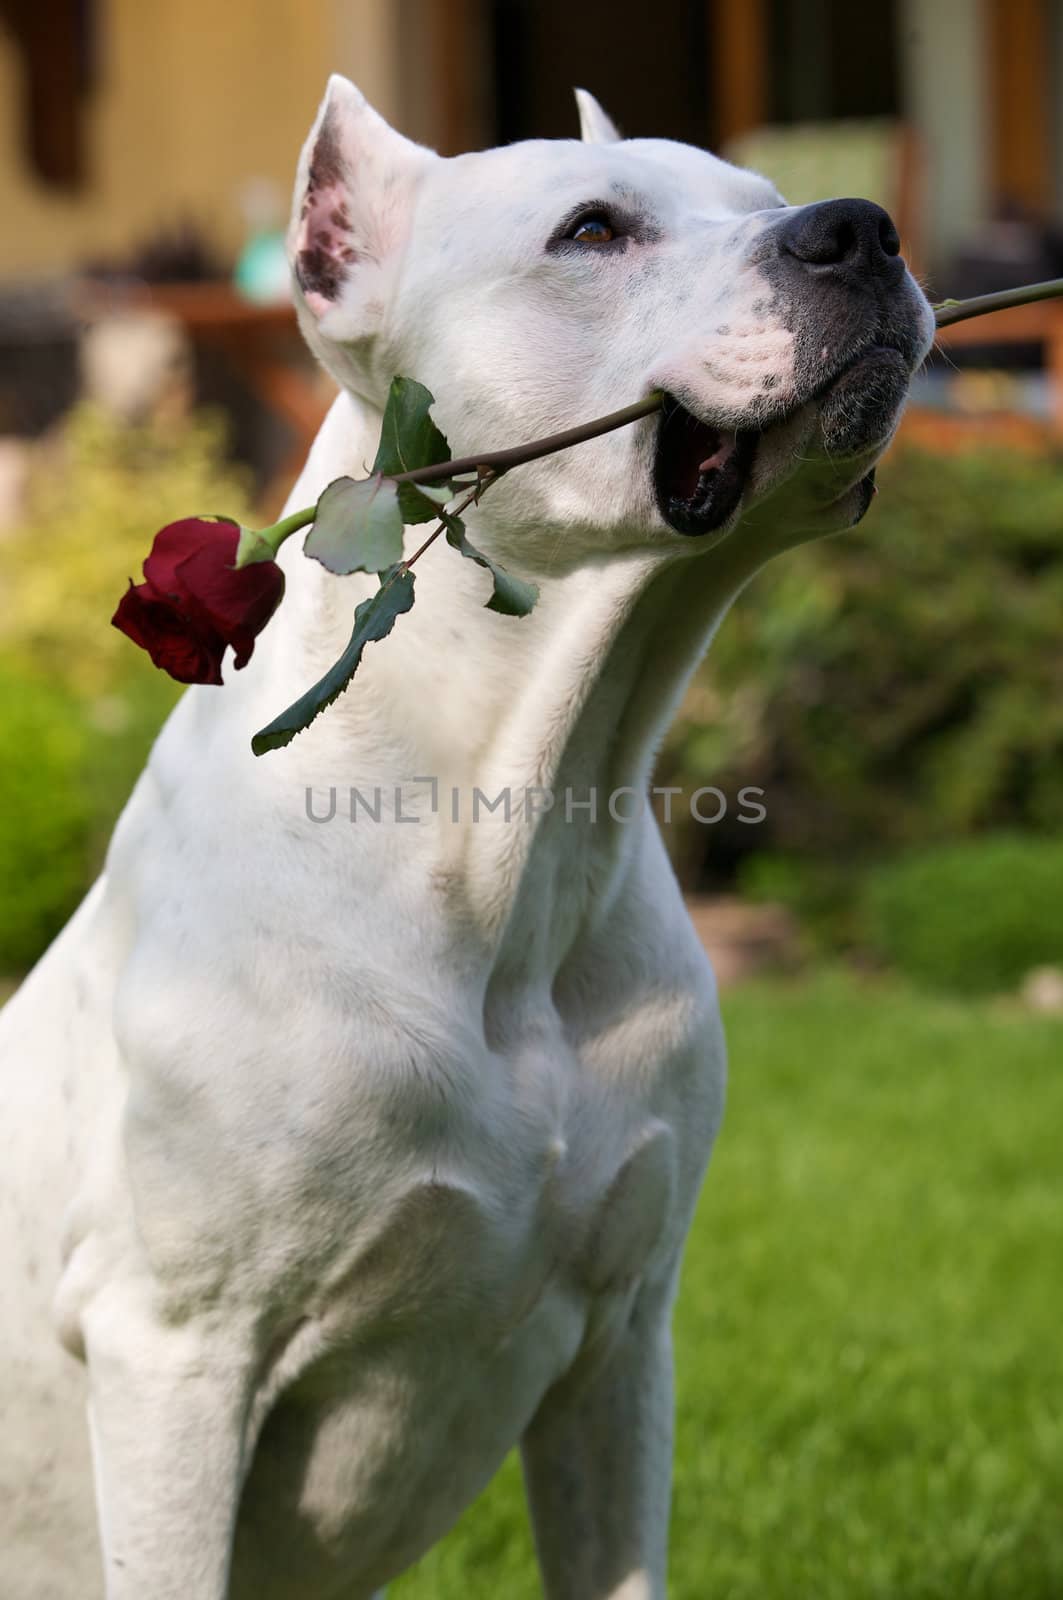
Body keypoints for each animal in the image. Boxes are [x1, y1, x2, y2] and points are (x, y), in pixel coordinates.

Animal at [0, 78, 928, 1600]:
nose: (858, 228)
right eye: (592, 229)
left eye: (760, 192)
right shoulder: (175, 1356)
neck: (515, 839)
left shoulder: (623, 1355)